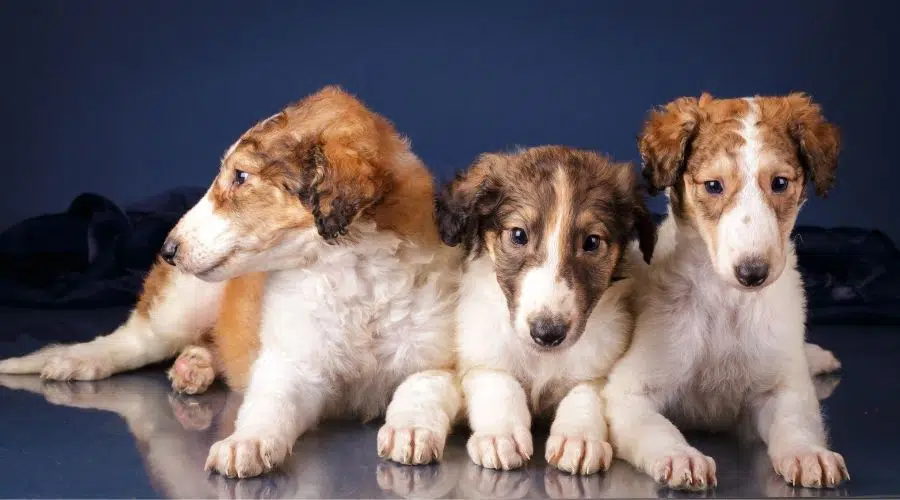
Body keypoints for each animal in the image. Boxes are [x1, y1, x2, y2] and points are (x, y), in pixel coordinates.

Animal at [0, 86, 464, 476]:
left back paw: (194, 366)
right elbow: (270, 402)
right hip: (184, 301)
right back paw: (76, 360)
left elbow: (421, 387)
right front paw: (247, 444)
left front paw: (410, 430)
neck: (354, 272)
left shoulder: (437, 360)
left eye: (241, 177)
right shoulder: (291, 361)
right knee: (132, 340)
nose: (168, 249)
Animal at [434, 146, 652, 476]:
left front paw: (579, 438)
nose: (547, 333)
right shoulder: (480, 358)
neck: (541, 359)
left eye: (591, 242)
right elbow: (500, 383)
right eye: (518, 235)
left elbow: (584, 393)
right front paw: (501, 435)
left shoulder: (600, 366)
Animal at [604, 92, 852, 490]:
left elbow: (795, 423)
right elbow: (657, 428)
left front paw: (807, 453)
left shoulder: (784, 388)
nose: (753, 273)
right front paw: (680, 457)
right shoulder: (627, 392)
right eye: (713, 186)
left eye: (779, 182)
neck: (727, 303)